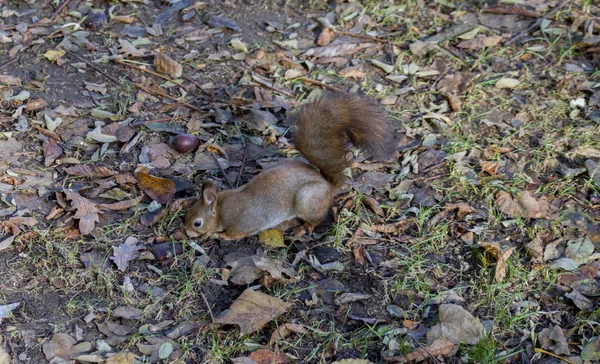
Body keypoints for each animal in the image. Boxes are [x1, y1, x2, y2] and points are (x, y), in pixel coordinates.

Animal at [185, 91, 396, 240]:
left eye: (197, 223)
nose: (185, 232)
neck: (221, 208)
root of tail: (328, 186)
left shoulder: (245, 223)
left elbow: (237, 234)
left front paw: (218, 235)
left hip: (307, 200)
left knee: (316, 218)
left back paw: (305, 227)